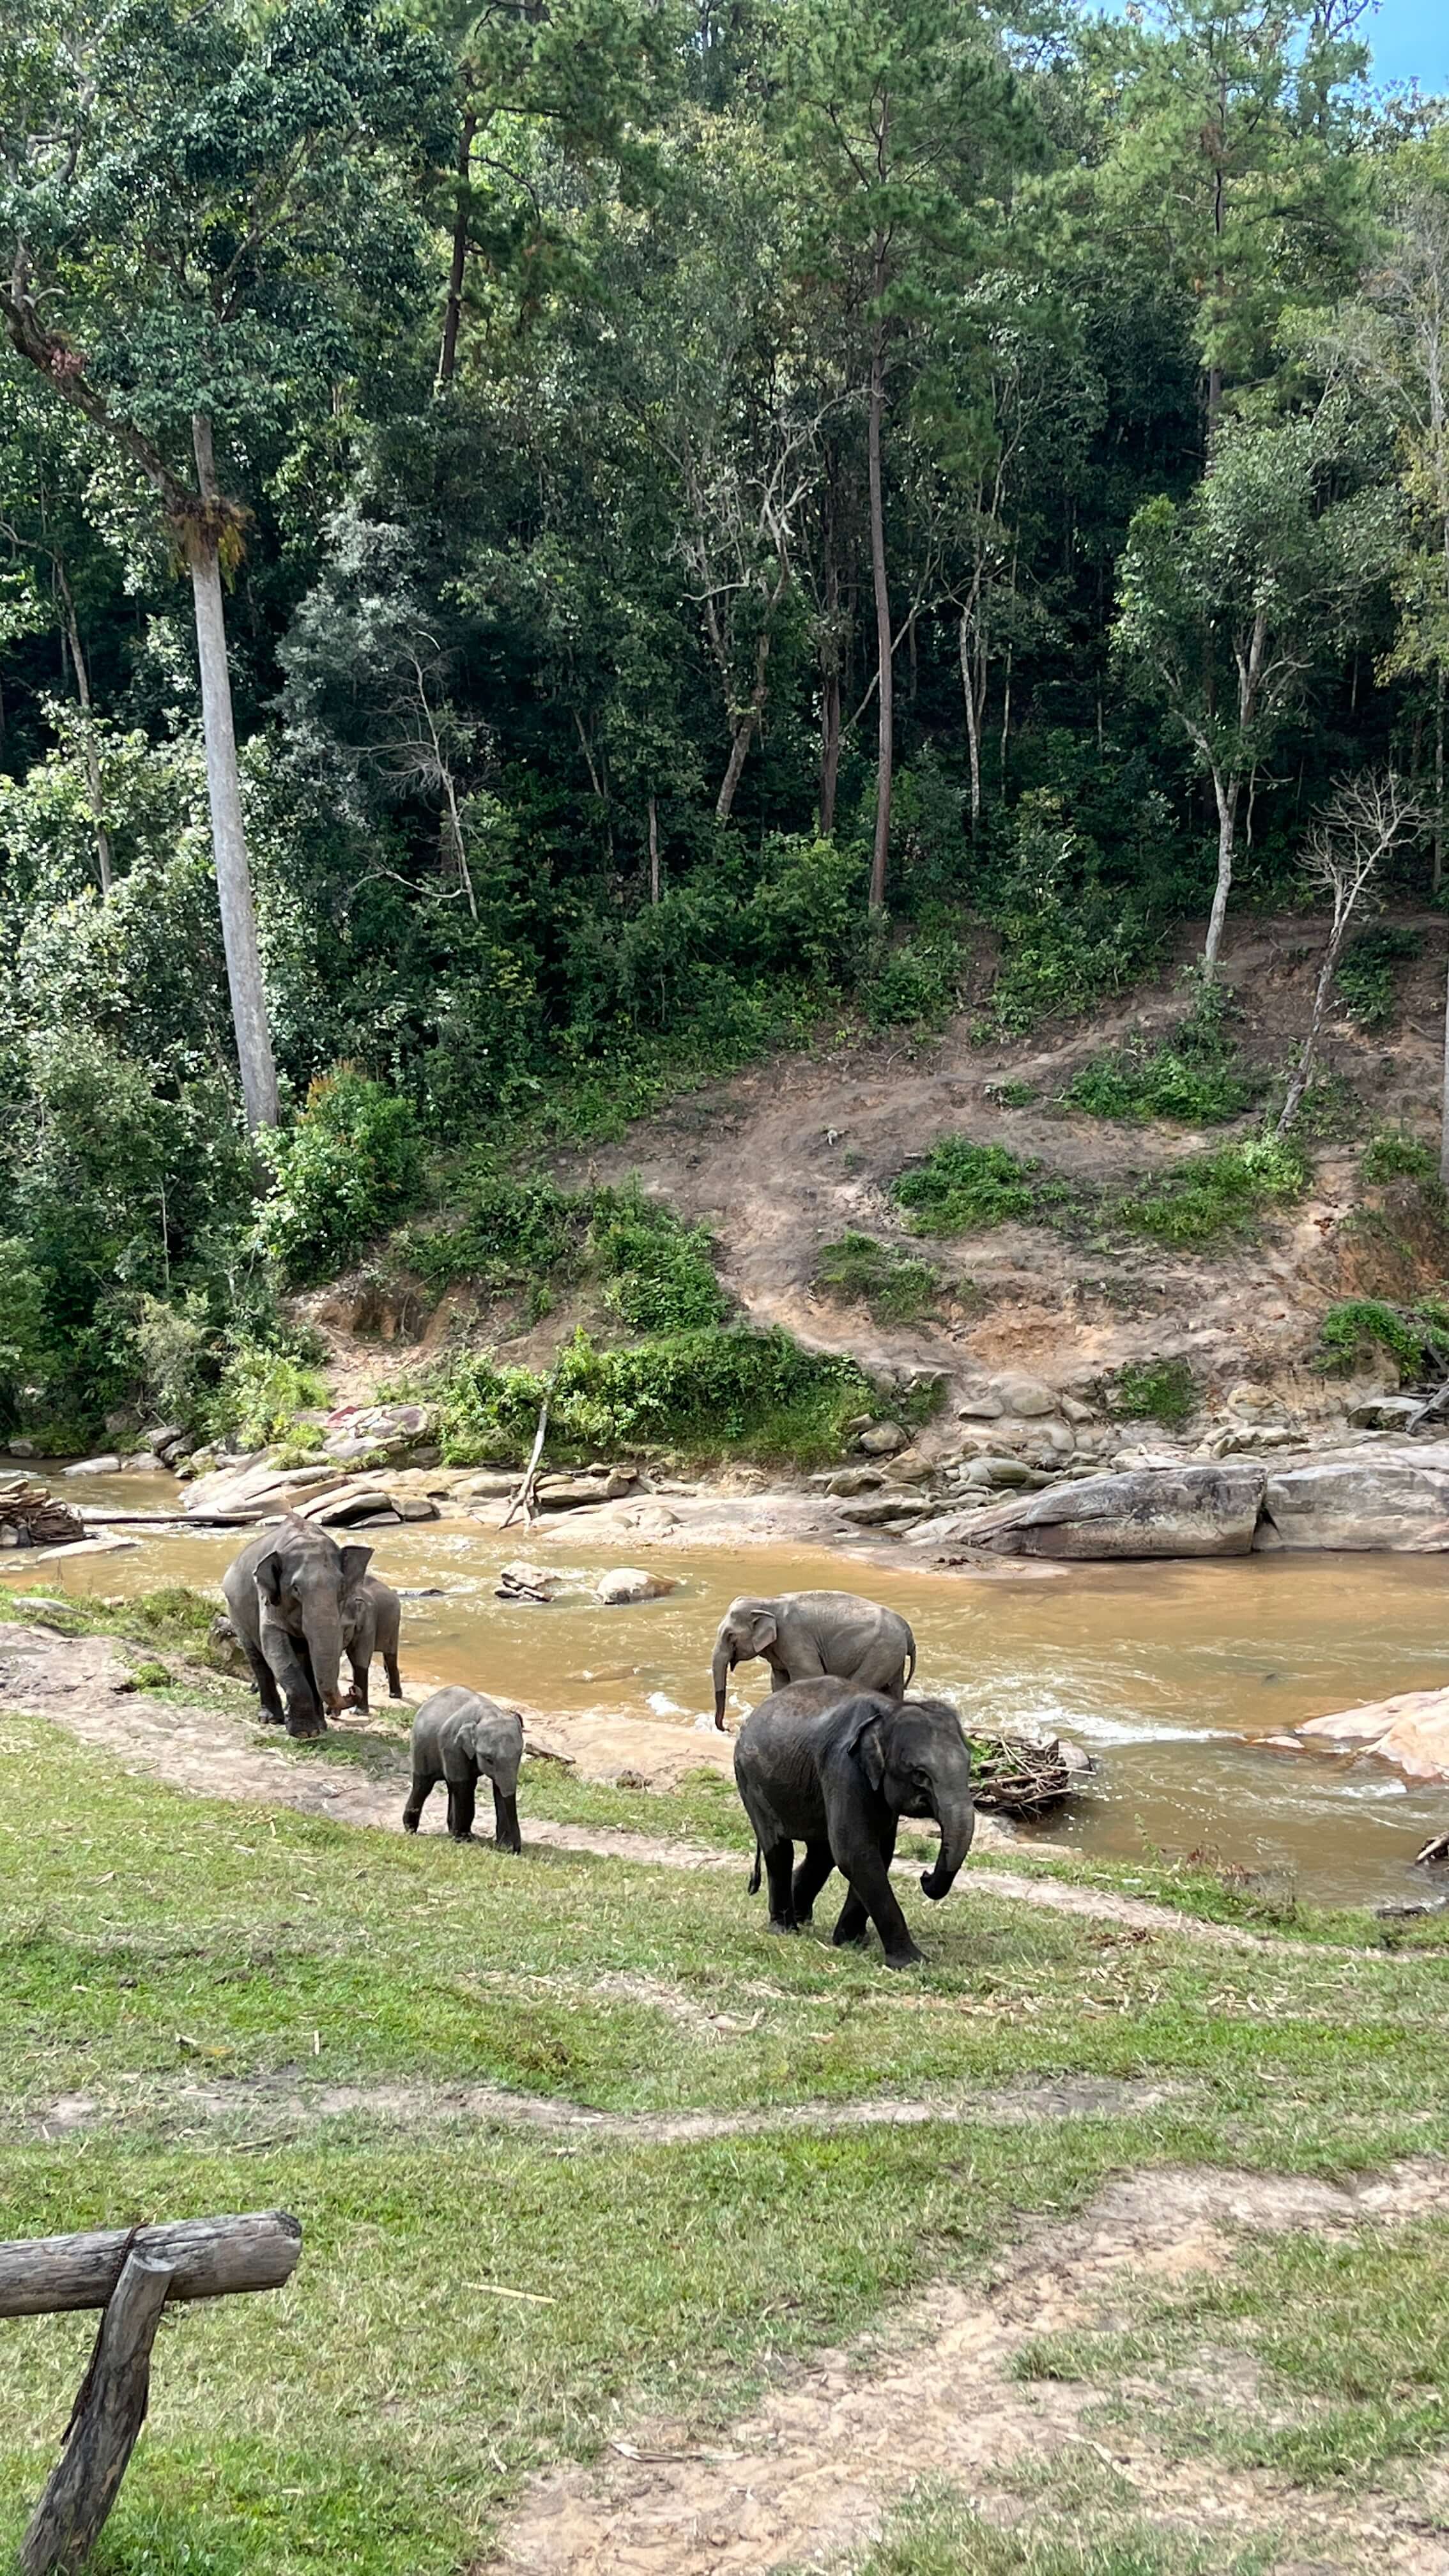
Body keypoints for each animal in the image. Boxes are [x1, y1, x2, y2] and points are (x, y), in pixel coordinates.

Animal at [221, 1515, 372, 1740]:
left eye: (342, 1586)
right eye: (296, 1589)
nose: (353, 1690)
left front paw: (318, 1729)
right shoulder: (268, 1600)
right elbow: (277, 1649)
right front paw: (304, 1733)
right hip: (236, 1612)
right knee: (258, 1659)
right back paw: (270, 1719)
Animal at [340, 1573, 403, 1713]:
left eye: (345, 1628)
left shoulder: (368, 1624)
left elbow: (360, 1660)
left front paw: (359, 1713)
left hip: (394, 1626)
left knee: (390, 1657)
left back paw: (395, 1696)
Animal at [402, 1687, 524, 1851]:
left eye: (520, 1755)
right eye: (489, 1760)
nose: (516, 1849)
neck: (488, 1714)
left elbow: (498, 1789)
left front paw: (505, 1846)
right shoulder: (452, 1746)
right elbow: (463, 1785)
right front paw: (463, 1839)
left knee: (453, 1786)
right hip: (420, 1747)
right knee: (424, 1785)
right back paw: (411, 1829)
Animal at [711, 1590, 916, 1729]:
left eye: (730, 1636)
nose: (727, 1728)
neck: (766, 1601)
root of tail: (906, 1628)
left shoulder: (794, 1637)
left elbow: (809, 1675)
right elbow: (779, 1681)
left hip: (881, 1652)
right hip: (892, 1656)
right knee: (893, 1690)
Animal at [732, 1676, 974, 1968]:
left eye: (969, 1768)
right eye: (920, 1775)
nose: (925, 1877)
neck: (889, 1712)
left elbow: (879, 1851)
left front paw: (851, 1941)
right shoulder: (843, 1768)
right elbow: (856, 1852)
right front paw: (912, 1962)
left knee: (821, 1855)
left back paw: (802, 1917)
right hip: (750, 1780)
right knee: (780, 1850)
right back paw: (785, 1928)